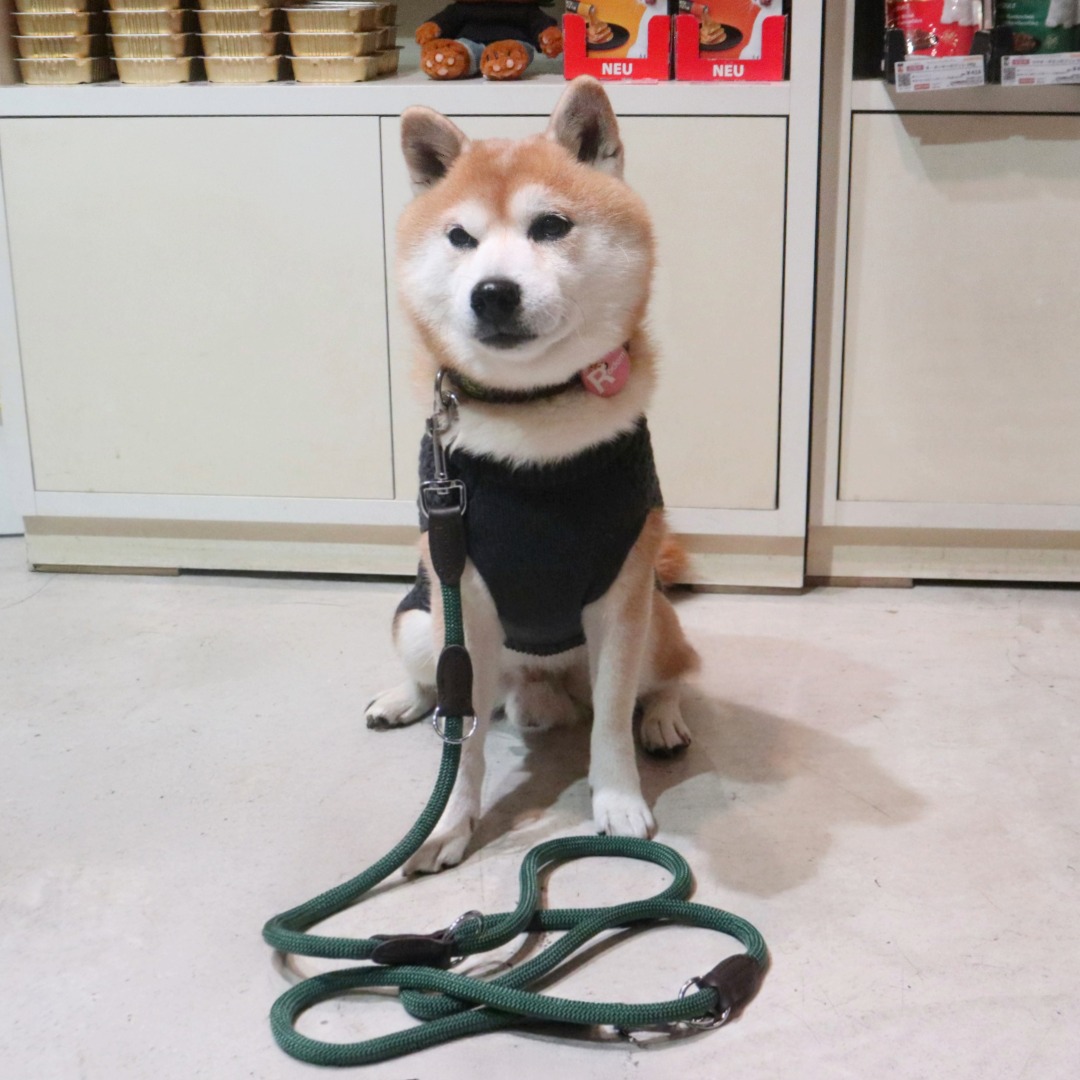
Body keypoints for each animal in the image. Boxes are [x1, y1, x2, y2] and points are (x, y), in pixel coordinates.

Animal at [365, 77, 699, 874]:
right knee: (446, 695)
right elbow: (463, 742)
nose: (493, 291)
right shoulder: (462, 603)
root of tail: (540, 688)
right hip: (419, 621)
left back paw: (664, 719)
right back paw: (404, 700)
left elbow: (610, 721)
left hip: (654, 619)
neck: (534, 425)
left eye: (550, 226)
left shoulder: (620, 599)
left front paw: (617, 801)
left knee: (671, 675)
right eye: (460, 237)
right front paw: (448, 824)